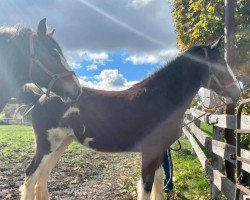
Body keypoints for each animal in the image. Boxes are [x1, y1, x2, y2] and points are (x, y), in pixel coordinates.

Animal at [20, 38, 240, 200]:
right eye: (221, 63)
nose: (237, 92)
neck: (160, 99)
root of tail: (40, 97)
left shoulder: (159, 153)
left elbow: (157, 185)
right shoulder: (150, 151)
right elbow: (146, 187)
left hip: (61, 144)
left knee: (42, 177)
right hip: (47, 145)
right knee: (30, 176)